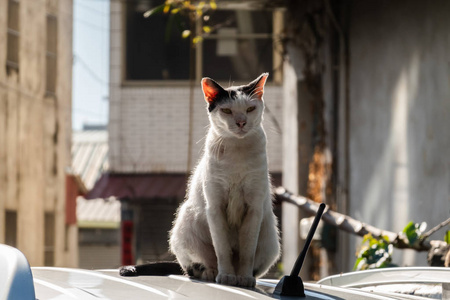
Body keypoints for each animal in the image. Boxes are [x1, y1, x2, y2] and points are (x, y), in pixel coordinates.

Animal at [170, 72, 282, 286]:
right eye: (227, 110)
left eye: (250, 109)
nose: (241, 122)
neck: (237, 153)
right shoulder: (215, 206)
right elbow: (222, 248)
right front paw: (226, 276)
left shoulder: (254, 208)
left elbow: (247, 251)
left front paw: (244, 278)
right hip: (185, 221)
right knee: (197, 264)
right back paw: (211, 272)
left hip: (270, 239)